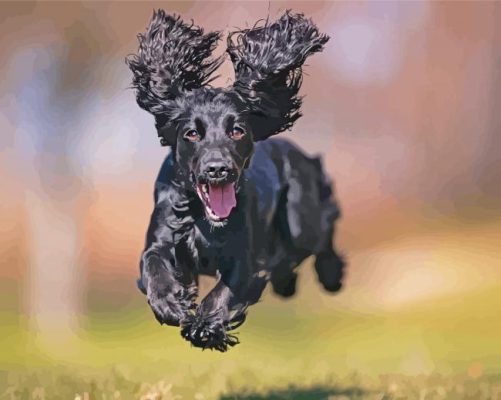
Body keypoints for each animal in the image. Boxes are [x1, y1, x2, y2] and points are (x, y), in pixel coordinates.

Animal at [126, 9, 344, 352]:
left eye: (237, 130)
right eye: (192, 133)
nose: (218, 169)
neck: (202, 218)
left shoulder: (245, 258)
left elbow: (225, 290)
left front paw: (205, 325)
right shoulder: (162, 235)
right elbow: (153, 264)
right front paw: (170, 303)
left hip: (301, 219)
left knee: (324, 227)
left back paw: (330, 273)